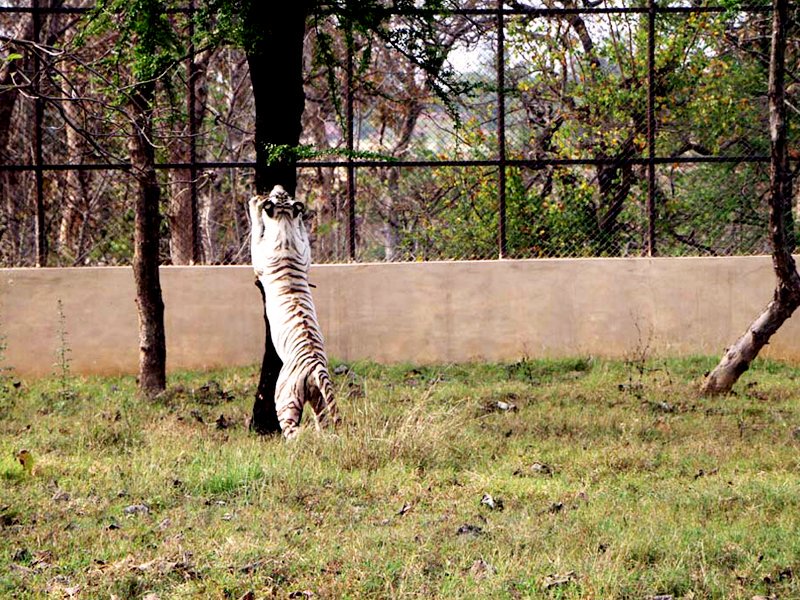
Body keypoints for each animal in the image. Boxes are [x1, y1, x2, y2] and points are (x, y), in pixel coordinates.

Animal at [250, 185, 338, 438]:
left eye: (276, 195)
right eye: (284, 195)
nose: (278, 187)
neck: (284, 222)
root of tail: (316, 366)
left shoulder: (259, 256)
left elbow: (256, 231)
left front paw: (254, 204)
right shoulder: (305, 253)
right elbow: (305, 236)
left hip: (285, 395)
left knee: (291, 429)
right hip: (318, 395)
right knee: (323, 418)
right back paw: (325, 436)